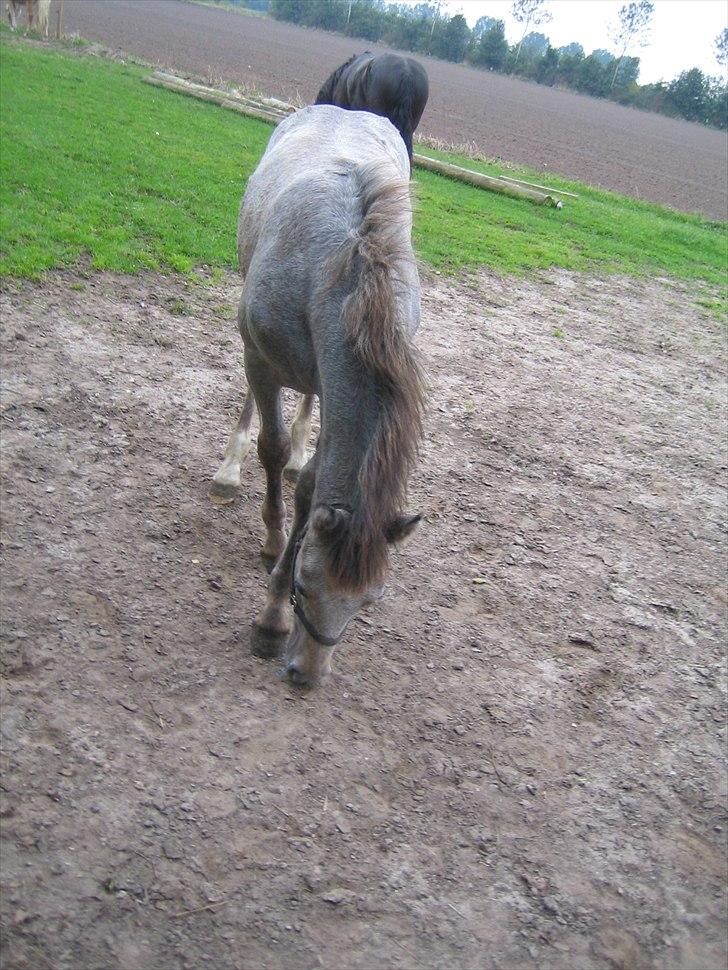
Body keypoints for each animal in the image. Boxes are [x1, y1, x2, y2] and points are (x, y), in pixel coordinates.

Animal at [210, 104, 424, 680]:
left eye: (369, 600)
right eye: (305, 586)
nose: (306, 675)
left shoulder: (335, 387)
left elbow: (310, 484)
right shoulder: (261, 360)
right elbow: (271, 445)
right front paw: (272, 558)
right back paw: (230, 469)